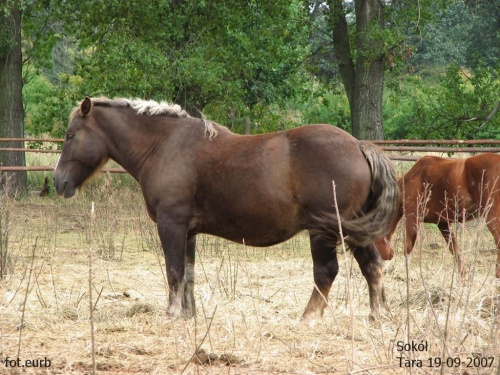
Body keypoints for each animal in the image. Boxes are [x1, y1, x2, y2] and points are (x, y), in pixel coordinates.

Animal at [53, 97, 398, 324]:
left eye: (70, 136)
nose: (58, 181)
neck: (164, 146)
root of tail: (359, 146)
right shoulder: (189, 231)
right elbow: (189, 273)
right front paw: (188, 315)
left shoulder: (171, 224)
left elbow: (174, 271)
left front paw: (172, 314)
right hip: (354, 230)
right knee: (372, 266)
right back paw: (376, 316)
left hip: (325, 230)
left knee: (326, 272)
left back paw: (309, 318)